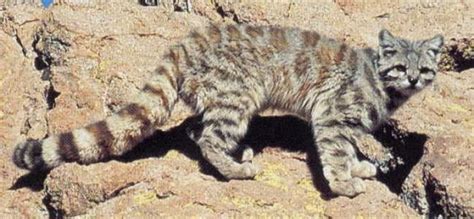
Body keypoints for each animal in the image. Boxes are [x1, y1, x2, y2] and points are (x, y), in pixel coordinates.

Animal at [12, 23, 442, 197]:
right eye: (400, 66)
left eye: (425, 68)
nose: (414, 80)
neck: (382, 84)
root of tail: (186, 42)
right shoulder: (332, 117)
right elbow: (335, 154)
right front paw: (343, 184)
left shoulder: (344, 125)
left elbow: (348, 151)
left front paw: (358, 168)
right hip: (239, 97)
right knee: (208, 139)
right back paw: (236, 168)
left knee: (194, 129)